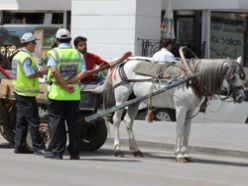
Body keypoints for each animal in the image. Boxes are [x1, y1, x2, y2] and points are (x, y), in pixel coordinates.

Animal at [98, 53, 245, 161]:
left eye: (242, 76)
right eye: (230, 75)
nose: (241, 96)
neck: (191, 80)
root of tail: (121, 63)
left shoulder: (190, 110)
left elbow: (187, 132)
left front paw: (186, 154)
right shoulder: (181, 108)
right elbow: (179, 130)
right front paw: (179, 154)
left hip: (134, 100)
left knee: (128, 121)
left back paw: (136, 150)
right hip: (121, 98)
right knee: (117, 120)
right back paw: (118, 149)